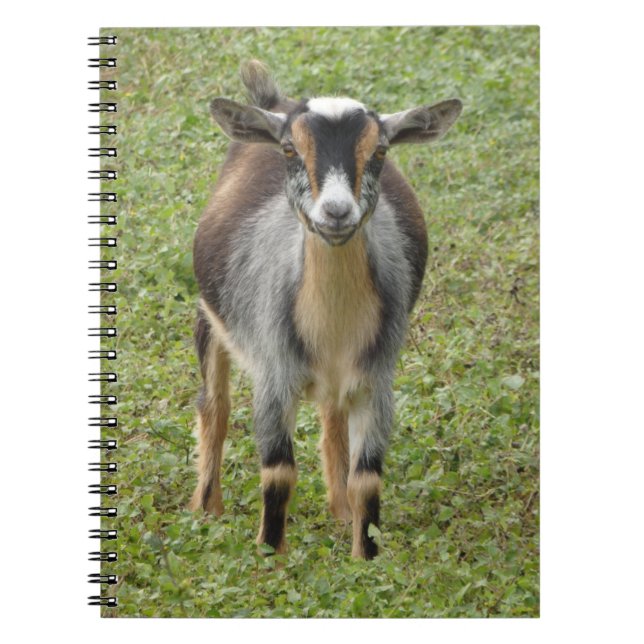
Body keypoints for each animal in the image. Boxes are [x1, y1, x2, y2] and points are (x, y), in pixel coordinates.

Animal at [191, 60, 461, 559]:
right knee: (214, 406)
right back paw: (206, 508)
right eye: (289, 149)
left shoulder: (377, 381)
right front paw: (269, 557)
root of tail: (273, 101)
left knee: (331, 415)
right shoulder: (275, 377)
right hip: (209, 314)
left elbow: (368, 480)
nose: (336, 212)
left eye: (380, 151)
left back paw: (339, 511)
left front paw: (365, 557)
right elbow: (278, 474)